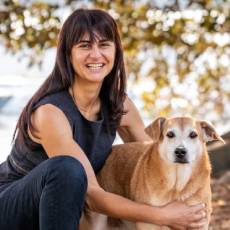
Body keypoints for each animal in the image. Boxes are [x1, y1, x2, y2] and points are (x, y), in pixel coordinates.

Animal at [81, 117, 225, 229]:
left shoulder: (200, 221)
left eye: (193, 135)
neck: (177, 184)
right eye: (170, 134)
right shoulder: (150, 221)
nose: (180, 151)